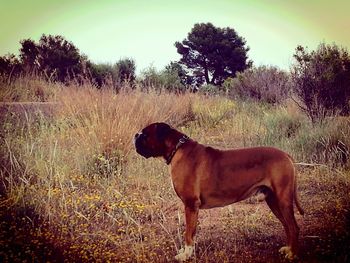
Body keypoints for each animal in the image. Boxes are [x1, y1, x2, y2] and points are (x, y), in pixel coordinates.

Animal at [134, 122, 304, 260]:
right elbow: (191, 232)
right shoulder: (192, 208)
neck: (177, 149)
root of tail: (286, 155)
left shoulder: (190, 205)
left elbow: (188, 234)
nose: (135, 135)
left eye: (145, 134)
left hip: (282, 200)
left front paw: (186, 255)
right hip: (274, 201)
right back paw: (288, 249)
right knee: (287, 226)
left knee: (293, 227)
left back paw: (292, 254)